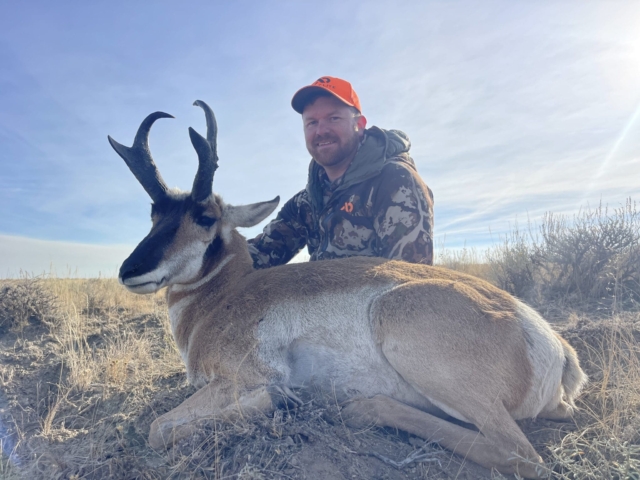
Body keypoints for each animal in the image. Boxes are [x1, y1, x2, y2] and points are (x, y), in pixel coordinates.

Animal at [108, 100, 587, 479]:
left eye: (205, 217)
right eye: (154, 213)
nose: (129, 270)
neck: (226, 295)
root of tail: (552, 343)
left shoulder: (243, 378)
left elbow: (157, 429)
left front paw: (278, 401)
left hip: (405, 329)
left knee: (519, 455)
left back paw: (358, 409)